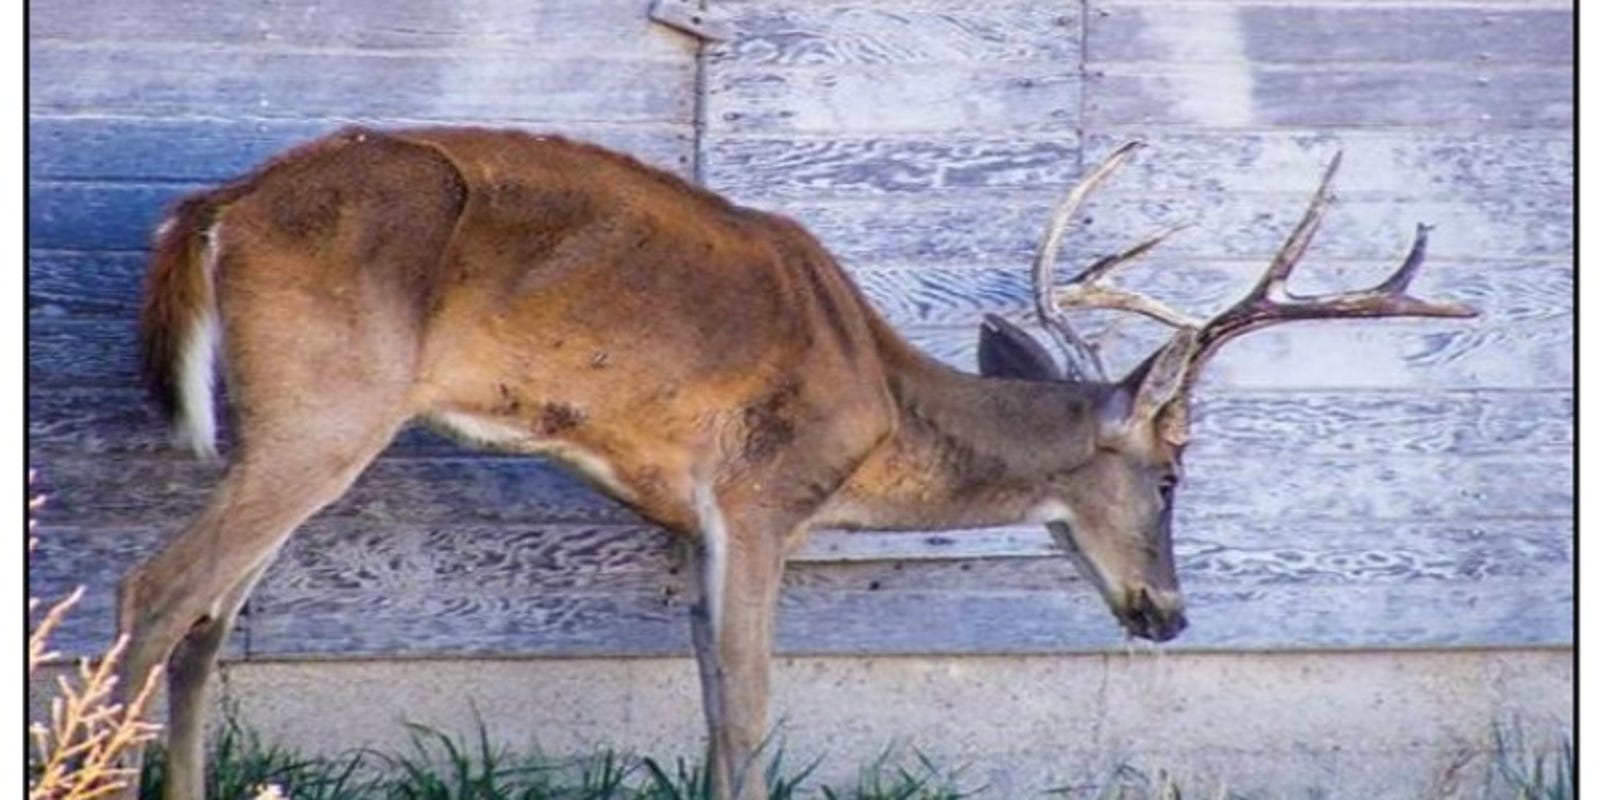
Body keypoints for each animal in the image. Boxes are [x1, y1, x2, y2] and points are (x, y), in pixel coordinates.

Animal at [116, 127, 1474, 800]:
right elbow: (755, 705)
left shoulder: (687, 521)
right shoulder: (762, 495)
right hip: (327, 405)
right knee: (156, 589)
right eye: (1177, 471)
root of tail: (212, 209)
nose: (1169, 613)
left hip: (294, 424)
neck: (877, 405)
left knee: (208, 617)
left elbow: (713, 700)